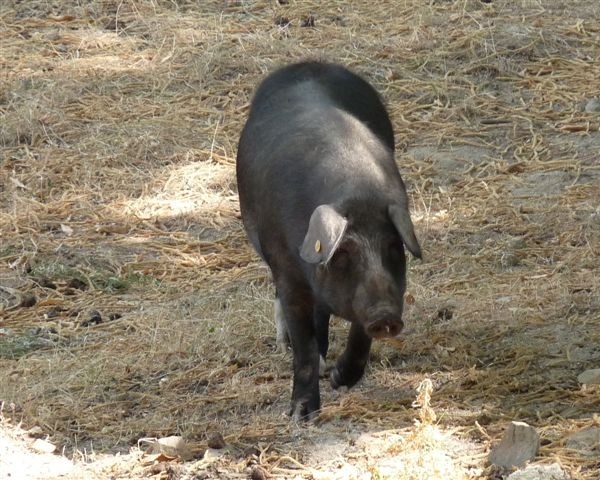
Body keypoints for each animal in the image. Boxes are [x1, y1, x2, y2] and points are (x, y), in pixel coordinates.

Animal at [236, 61, 422, 420]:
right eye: (343, 252)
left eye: (393, 247)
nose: (386, 316)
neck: (355, 193)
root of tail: (309, 63)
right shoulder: (287, 272)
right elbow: (303, 346)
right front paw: (301, 415)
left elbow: (359, 337)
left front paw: (339, 379)